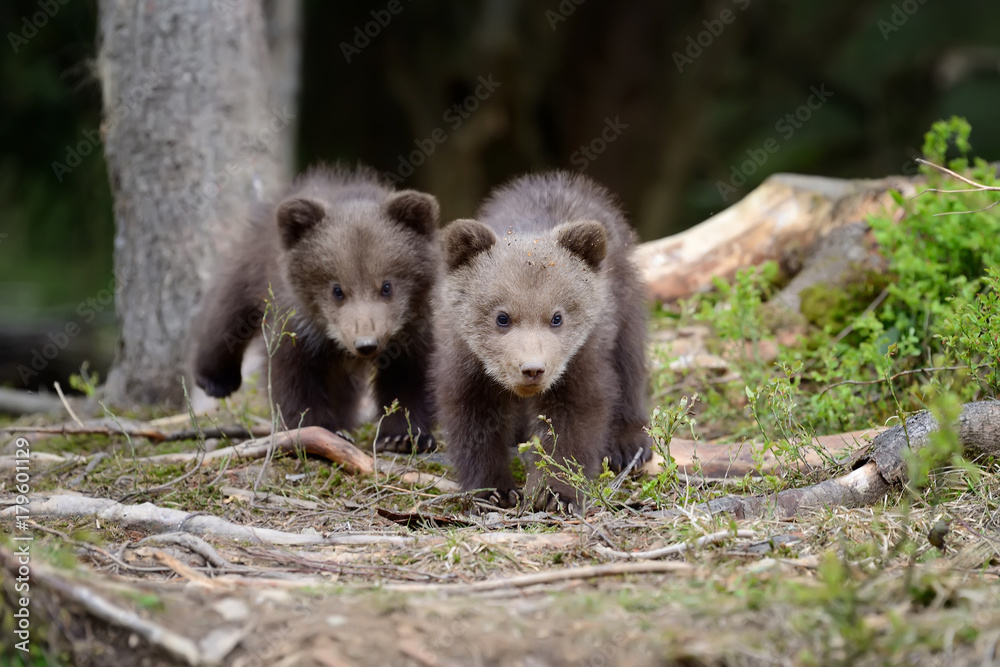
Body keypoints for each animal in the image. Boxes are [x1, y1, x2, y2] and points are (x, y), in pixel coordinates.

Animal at [190, 165, 440, 453]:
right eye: (337, 289)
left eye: (387, 286)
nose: (366, 343)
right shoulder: (299, 325)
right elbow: (294, 377)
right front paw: (319, 429)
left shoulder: (411, 331)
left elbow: (409, 379)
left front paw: (404, 436)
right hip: (250, 267)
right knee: (225, 313)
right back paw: (215, 380)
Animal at [433, 171, 652, 511]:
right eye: (502, 317)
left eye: (557, 317)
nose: (532, 369)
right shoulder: (467, 360)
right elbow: (473, 422)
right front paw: (493, 490)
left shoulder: (579, 358)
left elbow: (574, 419)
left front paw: (555, 491)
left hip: (622, 300)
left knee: (629, 361)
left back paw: (628, 444)